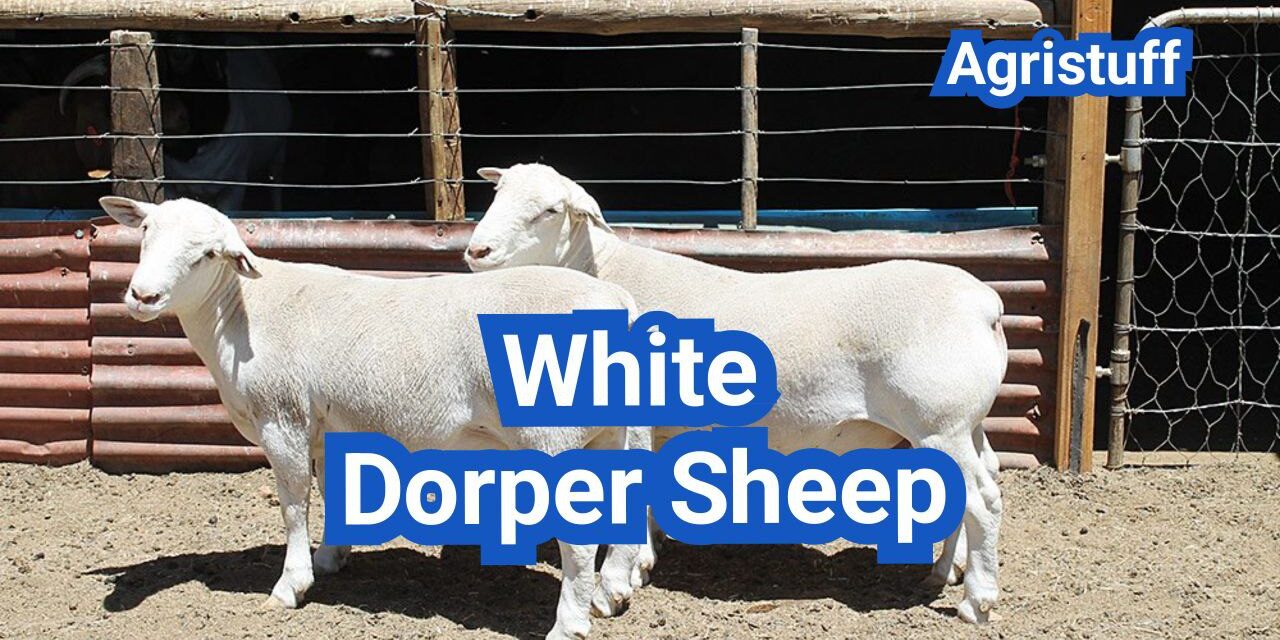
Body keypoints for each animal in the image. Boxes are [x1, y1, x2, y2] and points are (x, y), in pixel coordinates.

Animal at [97, 194, 651, 640]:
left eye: (208, 254)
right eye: (145, 233)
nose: (142, 296)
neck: (238, 309)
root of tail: (617, 302)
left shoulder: (283, 418)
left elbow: (293, 506)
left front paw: (291, 585)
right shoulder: (327, 428)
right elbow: (331, 494)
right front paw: (330, 558)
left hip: (552, 436)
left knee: (578, 539)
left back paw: (568, 625)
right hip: (612, 431)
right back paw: (610, 596)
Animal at [464, 163, 1008, 624]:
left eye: (551, 210)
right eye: (497, 193)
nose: (476, 252)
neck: (602, 273)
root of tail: (986, 304)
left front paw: (623, 577)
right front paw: (646, 558)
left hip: (938, 420)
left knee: (982, 499)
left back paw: (976, 601)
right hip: (962, 423)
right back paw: (944, 572)